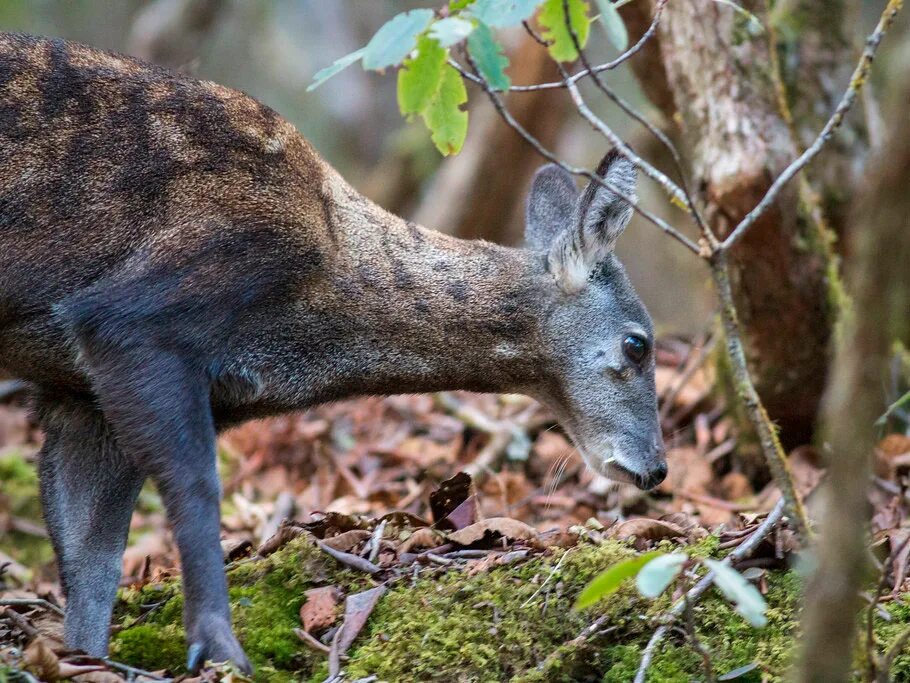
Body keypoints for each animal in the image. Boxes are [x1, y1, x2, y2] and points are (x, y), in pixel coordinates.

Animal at [0, 33, 668, 672]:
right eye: (637, 343)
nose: (657, 468)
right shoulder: (134, 316)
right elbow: (195, 489)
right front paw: (221, 651)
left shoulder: (76, 394)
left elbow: (92, 564)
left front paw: (86, 659)